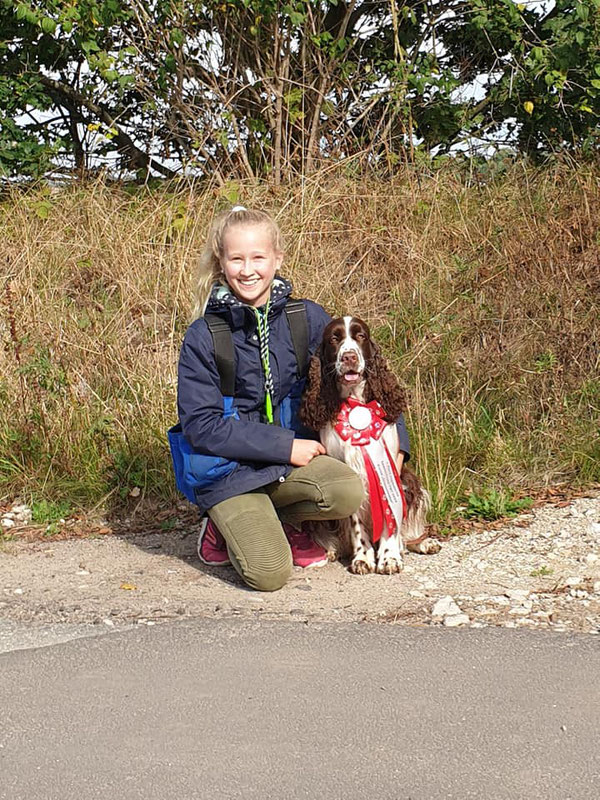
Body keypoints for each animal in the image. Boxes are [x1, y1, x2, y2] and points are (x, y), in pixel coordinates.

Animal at [300, 316, 440, 572]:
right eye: (334, 338)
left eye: (360, 336)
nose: (349, 357)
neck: (356, 401)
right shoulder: (350, 474)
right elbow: (356, 525)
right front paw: (363, 558)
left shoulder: (389, 470)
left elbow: (391, 520)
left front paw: (389, 557)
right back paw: (331, 549)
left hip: (409, 482)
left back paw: (423, 543)